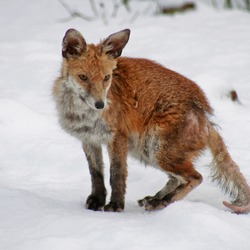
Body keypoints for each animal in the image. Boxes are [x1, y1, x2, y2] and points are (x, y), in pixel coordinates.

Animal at [52, 28, 250, 213]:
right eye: (83, 77)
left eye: (106, 78)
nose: (100, 104)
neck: (83, 114)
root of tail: (205, 118)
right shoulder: (89, 139)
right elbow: (96, 174)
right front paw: (97, 201)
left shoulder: (117, 137)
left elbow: (116, 174)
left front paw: (115, 205)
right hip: (147, 152)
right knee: (176, 179)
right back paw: (156, 198)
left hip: (158, 151)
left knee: (195, 177)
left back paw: (162, 202)